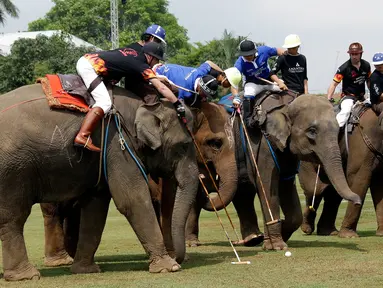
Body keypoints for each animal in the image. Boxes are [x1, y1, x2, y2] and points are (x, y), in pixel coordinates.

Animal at [0, 83, 200, 282]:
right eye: (183, 146)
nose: (179, 258)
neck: (141, 106)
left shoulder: (103, 156)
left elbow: (96, 207)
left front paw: (85, 270)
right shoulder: (118, 146)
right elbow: (132, 200)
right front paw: (169, 267)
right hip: (12, 170)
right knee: (13, 217)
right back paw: (26, 275)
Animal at [300, 104, 383, 237]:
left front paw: (381, 234)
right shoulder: (361, 144)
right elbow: (358, 177)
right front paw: (349, 236)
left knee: (332, 193)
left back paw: (329, 232)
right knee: (315, 190)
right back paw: (307, 228)